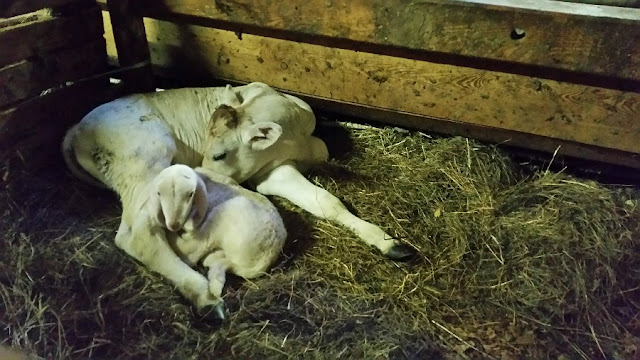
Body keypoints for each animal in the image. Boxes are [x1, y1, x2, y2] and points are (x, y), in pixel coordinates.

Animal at [125, 165, 284, 320]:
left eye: (190, 195)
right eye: (159, 193)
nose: (173, 224)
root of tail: (261, 261)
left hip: (225, 215)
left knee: (190, 254)